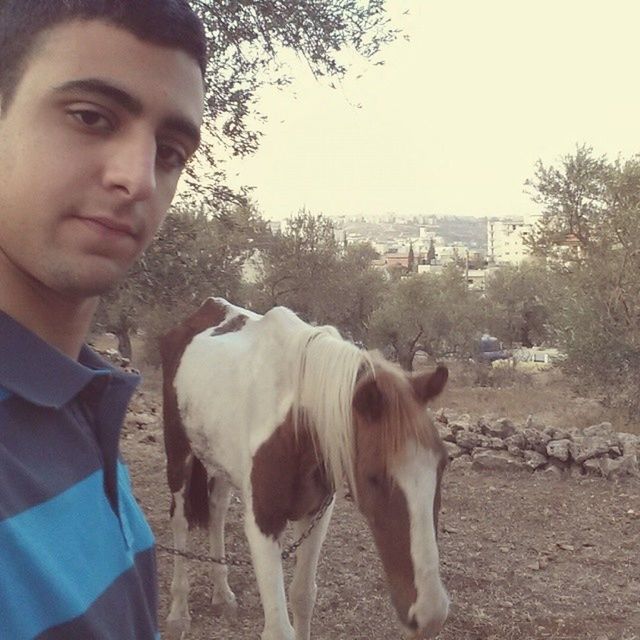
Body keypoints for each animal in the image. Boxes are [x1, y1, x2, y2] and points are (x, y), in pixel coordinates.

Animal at [160, 298, 450, 640]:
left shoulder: (316, 514)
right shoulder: (263, 523)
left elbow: (303, 595)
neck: (296, 425)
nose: (430, 614)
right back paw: (179, 612)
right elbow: (278, 627)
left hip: (220, 463)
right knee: (180, 522)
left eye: (442, 464)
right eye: (373, 477)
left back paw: (223, 594)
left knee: (216, 512)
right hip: (179, 454)